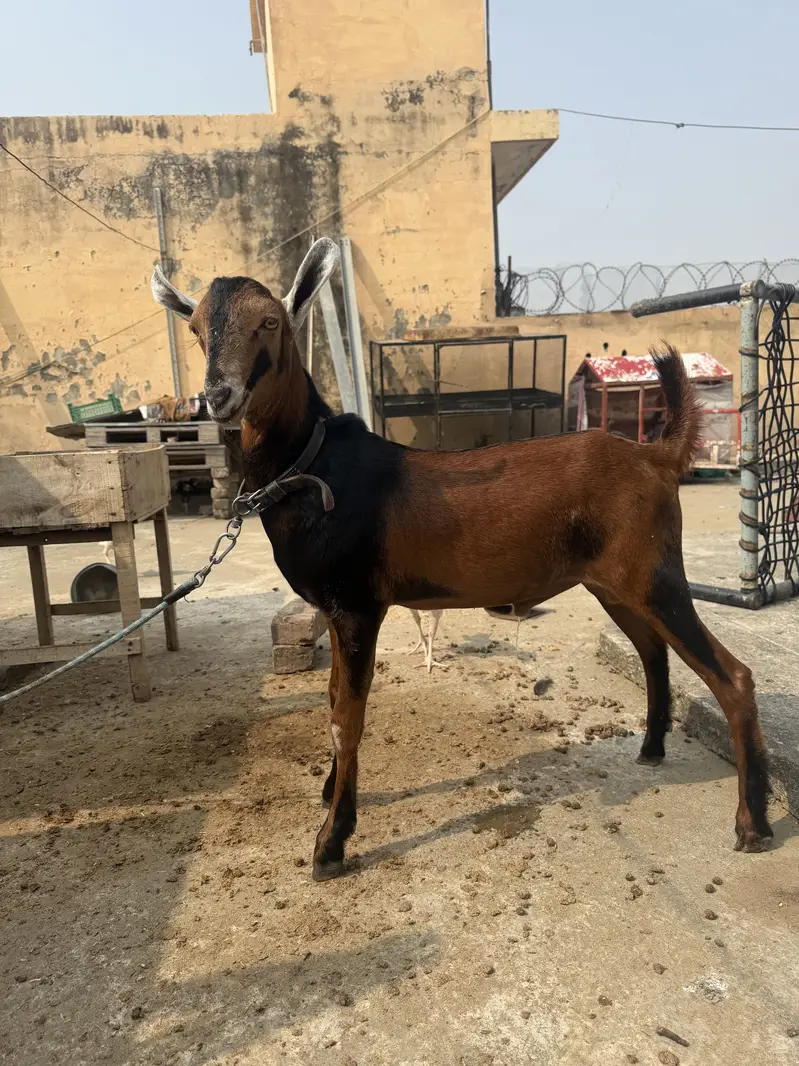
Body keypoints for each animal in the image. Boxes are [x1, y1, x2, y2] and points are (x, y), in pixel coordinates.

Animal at [152, 239, 772, 881]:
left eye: (270, 322)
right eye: (195, 328)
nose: (219, 397)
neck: (314, 466)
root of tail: (656, 457)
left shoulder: (357, 606)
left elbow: (347, 717)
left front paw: (331, 842)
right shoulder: (333, 607)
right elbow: (330, 699)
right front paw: (329, 794)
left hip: (655, 576)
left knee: (732, 676)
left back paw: (752, 824)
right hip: (615, 582)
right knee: (652, 651)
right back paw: (651, 749)